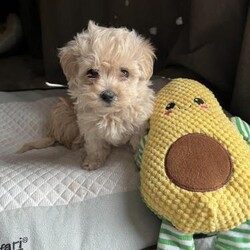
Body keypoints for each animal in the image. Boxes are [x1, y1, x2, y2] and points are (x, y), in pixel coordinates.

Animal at [18, 21, 154, 170]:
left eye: (125, 72)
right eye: (92, 72)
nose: (108, 95)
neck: (110, 113)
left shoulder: (139, 125)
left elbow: (137, 142)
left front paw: (139, 161)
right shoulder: (90, 127)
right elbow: (95, 146)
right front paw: (93, 161)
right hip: (64, 113)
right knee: (64, 140)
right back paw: (76, 142)